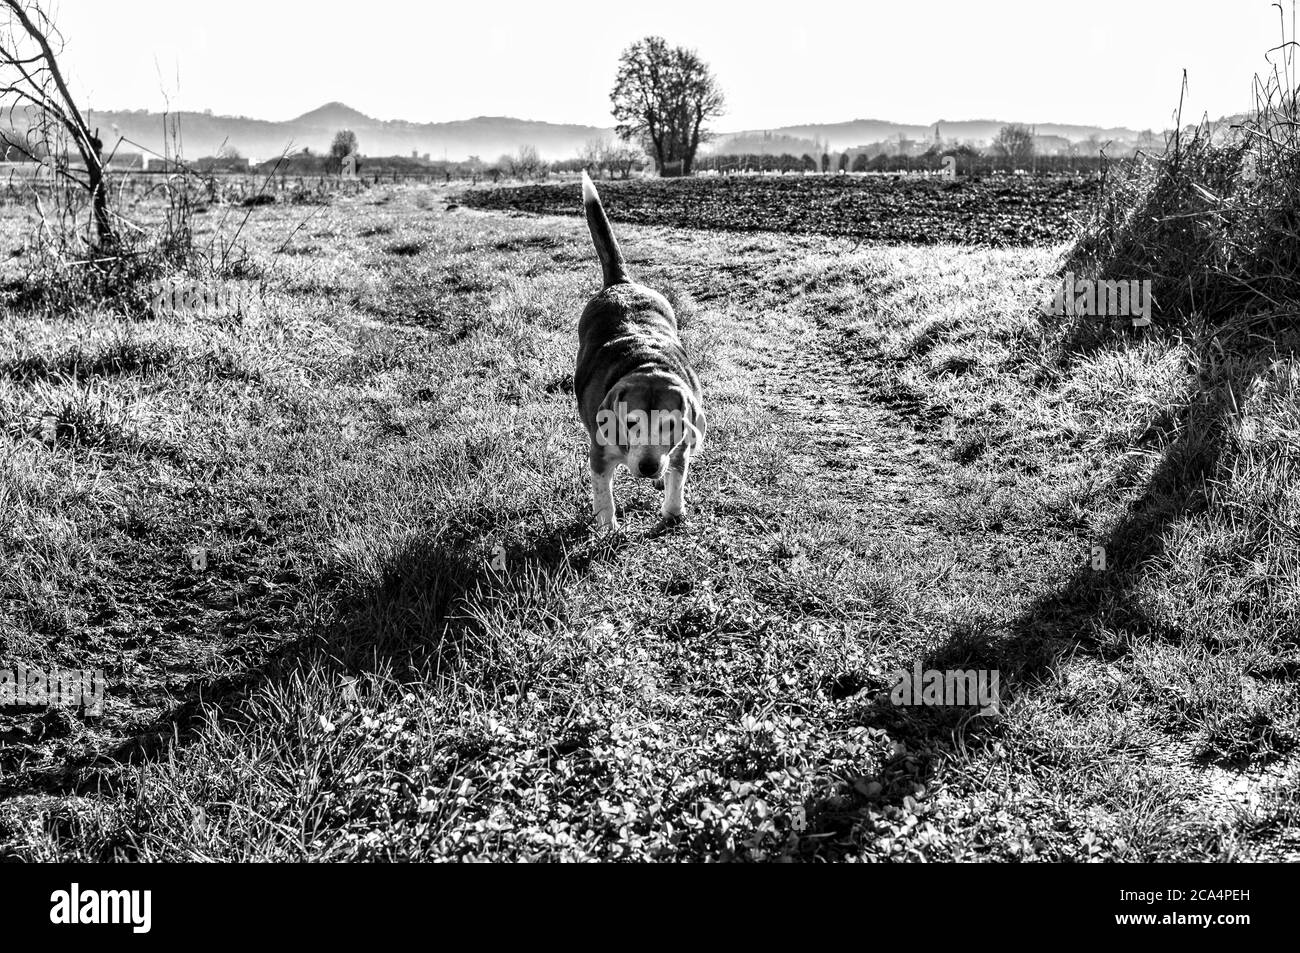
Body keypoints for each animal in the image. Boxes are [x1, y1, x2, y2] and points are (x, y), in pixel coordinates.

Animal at [574, 171, 707, 527]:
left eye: (671, 425)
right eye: (631, 422)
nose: (648, 468)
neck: (647, 364)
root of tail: (621, 283)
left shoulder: (680, 449)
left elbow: (677, 478)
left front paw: (672, 512)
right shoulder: (599, 455)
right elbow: (604, 497)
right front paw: (608, 529)